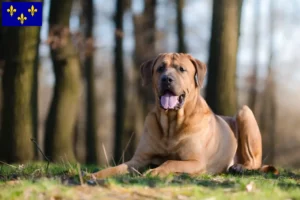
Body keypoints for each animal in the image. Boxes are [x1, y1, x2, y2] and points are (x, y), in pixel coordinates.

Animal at [94, 53, 274, 178]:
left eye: (181, 69)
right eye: (160, 68)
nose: (167, 79)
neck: (171, 124)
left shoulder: (196, 161)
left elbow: (171, 161)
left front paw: (156, 171)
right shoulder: (139, 159)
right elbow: (118, 167)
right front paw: (96, 175)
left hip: (245, 112)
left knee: (254, 161)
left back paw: (240, 167)